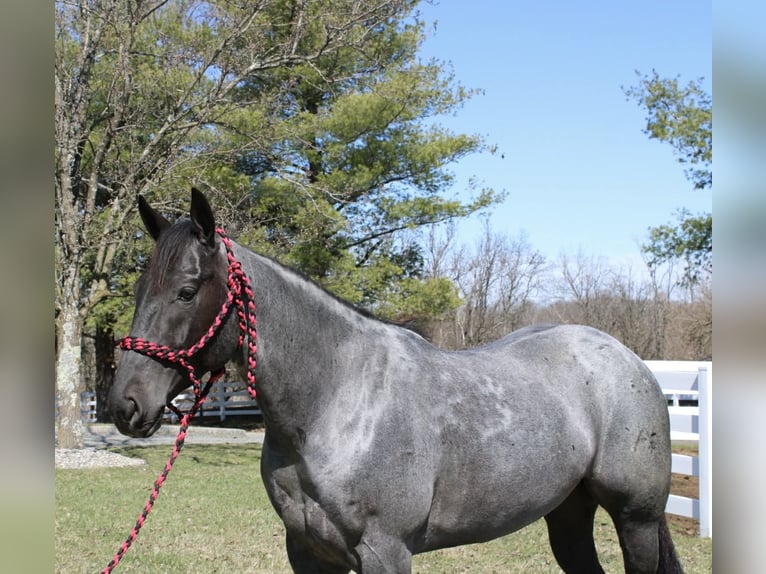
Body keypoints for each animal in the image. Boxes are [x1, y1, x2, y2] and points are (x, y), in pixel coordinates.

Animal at [109, 188, 683, 573]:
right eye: (138, 290)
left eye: (186, 291)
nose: (125, 405)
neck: (334, 403)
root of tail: (627, 359)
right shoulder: (308, 552)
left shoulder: (385, 552)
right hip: (568, 514)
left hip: (635, 518)